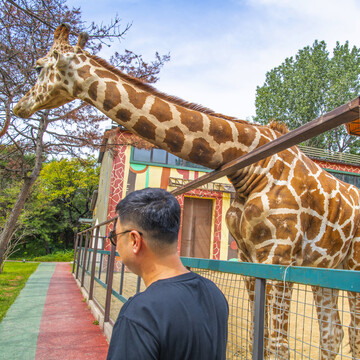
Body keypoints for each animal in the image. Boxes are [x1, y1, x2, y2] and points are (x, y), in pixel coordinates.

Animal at [12, 23, 358, 358]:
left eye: (39, 66)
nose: (19, 105)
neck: (251, 166)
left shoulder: (277, 254)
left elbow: (277, 346)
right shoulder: (249, 256)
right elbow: (255, 338)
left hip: (351, 262)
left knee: (350, 334)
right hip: (326, 266)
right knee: (333, 335)